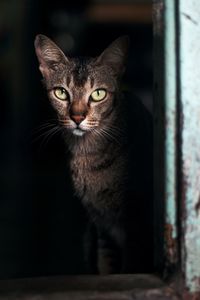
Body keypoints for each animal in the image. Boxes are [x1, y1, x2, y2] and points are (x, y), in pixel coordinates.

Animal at [34, 34, 153, 274]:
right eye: (61, 92)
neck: (88, 155)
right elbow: (106, 266)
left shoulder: (136, 222)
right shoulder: (103, 229)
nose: (77, 117)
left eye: (98, 94)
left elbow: (131, 266)